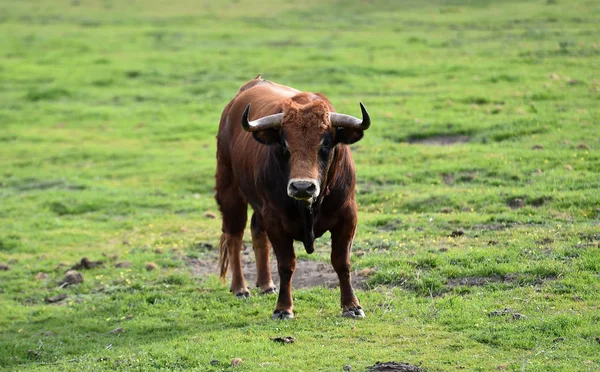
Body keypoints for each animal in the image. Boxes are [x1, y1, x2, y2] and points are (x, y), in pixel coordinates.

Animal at [213, 75, 368, 320]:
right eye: (285, 144)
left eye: (325, 143)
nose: (302, 186)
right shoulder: (276, 221)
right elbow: (286, 265)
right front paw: (283, 308)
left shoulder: (348, 216)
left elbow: (342, 262)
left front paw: (352, 306)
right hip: (230, 191)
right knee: (234, 236)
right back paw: (240, 287)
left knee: (257, 231)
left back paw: (266, 284)